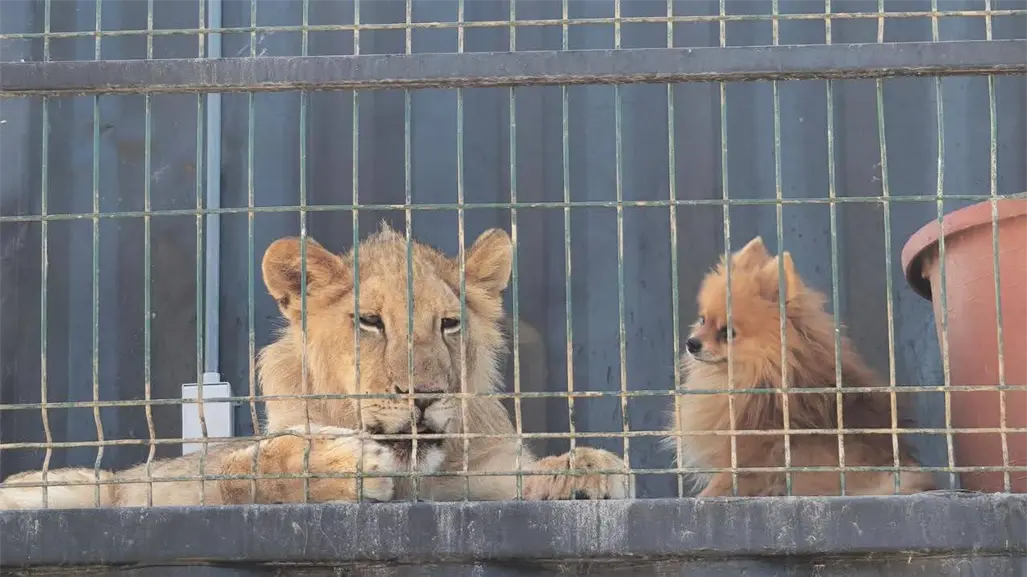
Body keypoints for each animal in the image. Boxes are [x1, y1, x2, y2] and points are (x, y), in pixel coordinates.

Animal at [0, 224, 632, 508]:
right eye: (370, 321)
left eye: (449, 324)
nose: (424, 393)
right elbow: (247, 467)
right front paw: (339, 463)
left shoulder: (480, 476)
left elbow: (524, 474)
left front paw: (589, 469)